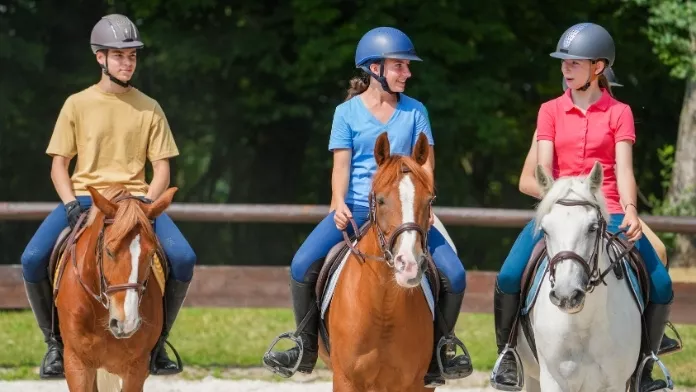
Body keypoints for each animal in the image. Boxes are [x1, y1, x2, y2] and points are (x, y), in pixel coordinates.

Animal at [320, 132, 436, 392]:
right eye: (381, 201)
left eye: (429, 201)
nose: (409, 266)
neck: (384, 305)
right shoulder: (345, 380)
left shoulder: (416, 383)